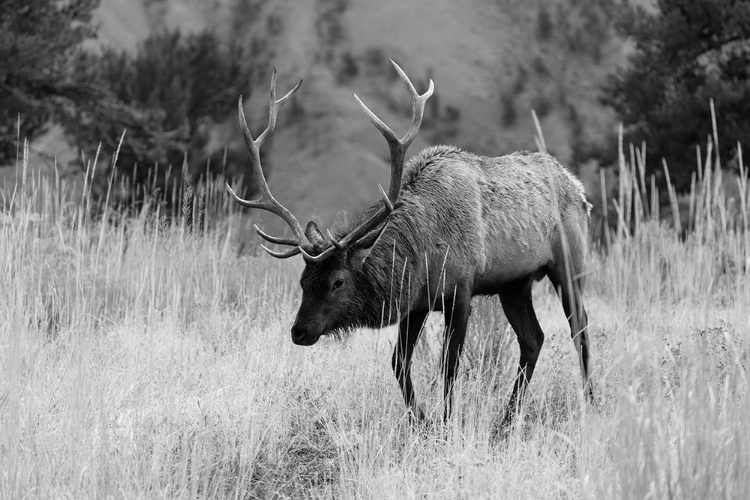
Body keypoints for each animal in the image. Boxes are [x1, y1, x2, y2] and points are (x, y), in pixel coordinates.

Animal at [226, 60, 596, 424]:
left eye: (337, 281)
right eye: (303, 281)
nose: (299, 331)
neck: (421, 252)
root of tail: (579, 189)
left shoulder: (460, 292)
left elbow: (449, 365)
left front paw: (446, 424)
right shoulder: (416, 303)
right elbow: (399, 363)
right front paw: (421, 422)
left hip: (569, 265)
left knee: (580, 327)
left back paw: (591, 403)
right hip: (515, 284)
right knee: (533, 339)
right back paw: (504, 421)